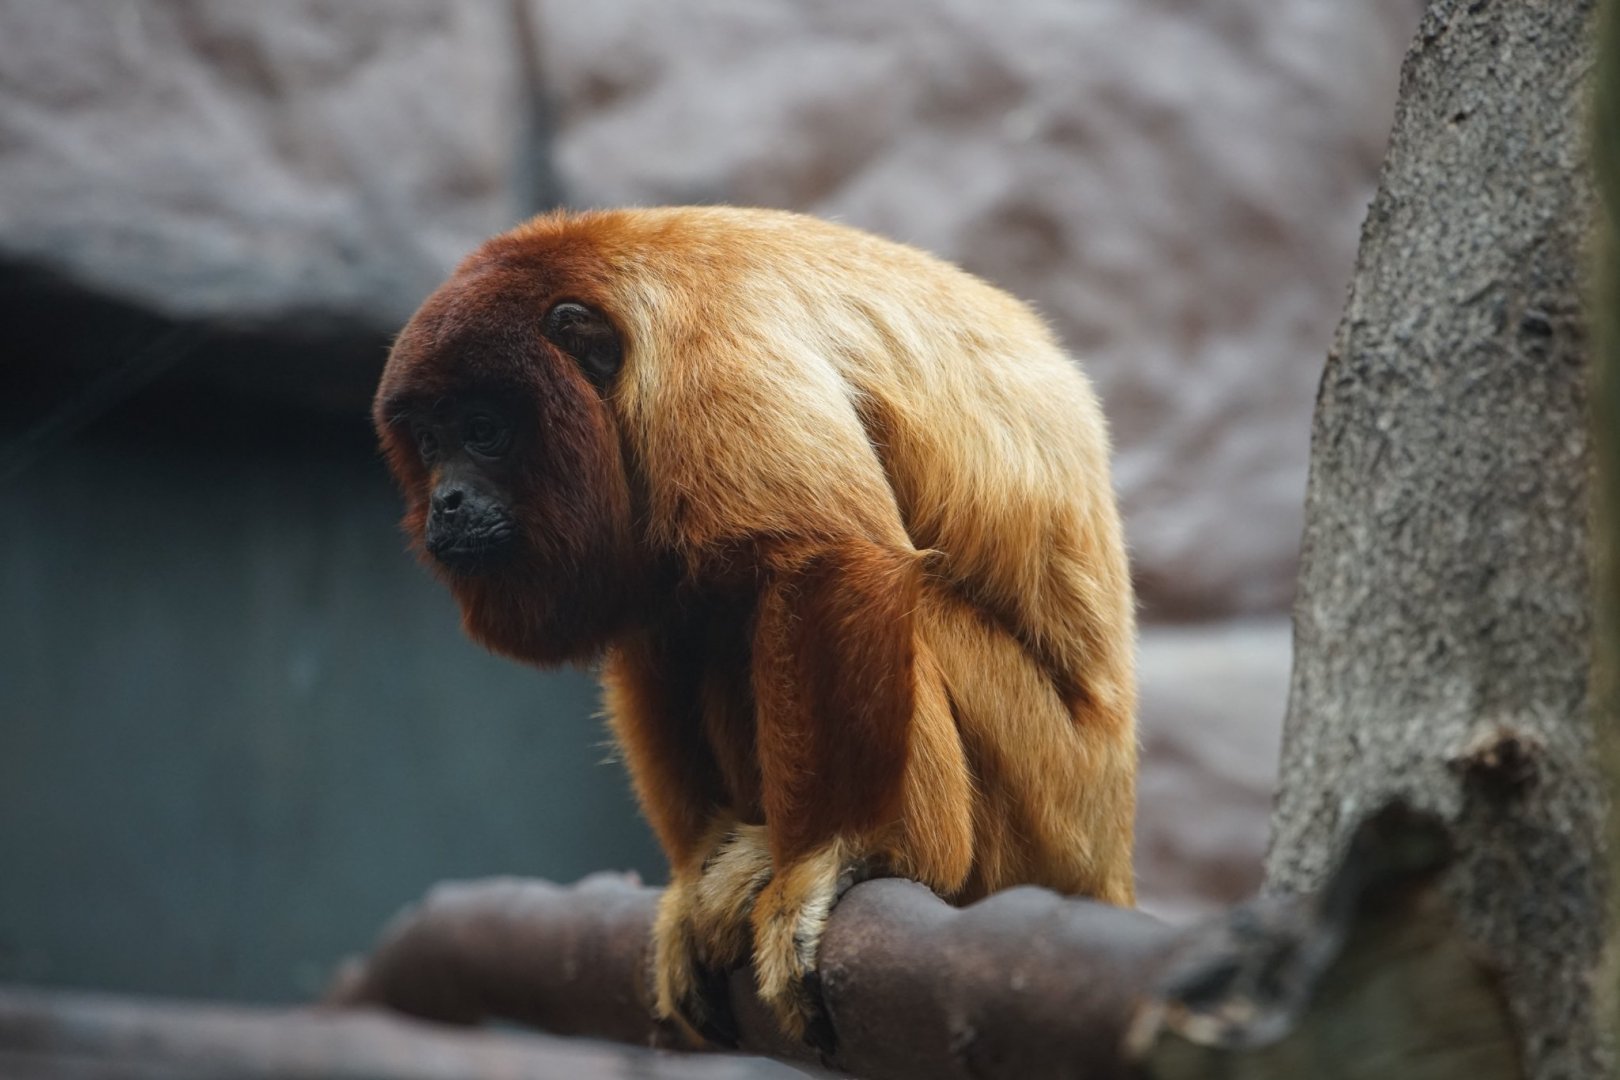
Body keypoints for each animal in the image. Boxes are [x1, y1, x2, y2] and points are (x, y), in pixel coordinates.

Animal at [372, 205, 1137, 1051]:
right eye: (431, 442)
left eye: (483, 431)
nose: (445, 501)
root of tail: (1106, 852)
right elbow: (657, 615)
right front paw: (690, 883)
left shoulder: (709, 359)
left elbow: (829, 557)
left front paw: (826, 860)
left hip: (1043, 792)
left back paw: (903, 850)